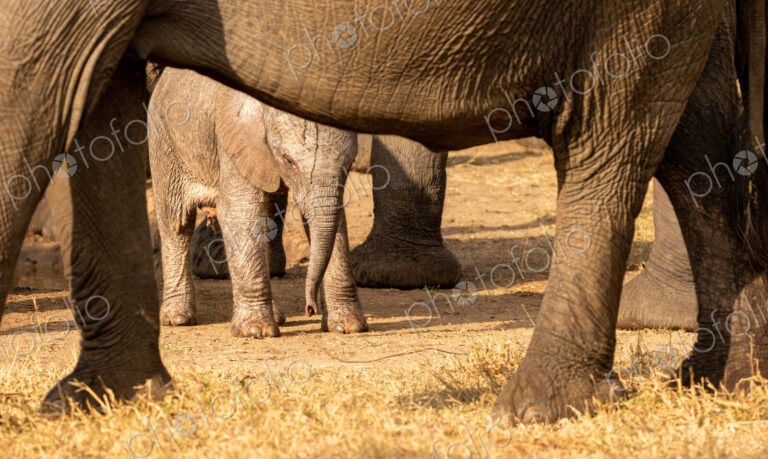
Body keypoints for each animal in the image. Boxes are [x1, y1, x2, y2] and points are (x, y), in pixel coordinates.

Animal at [149, 67, 368, 337]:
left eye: (351, 162)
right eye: (289, 161)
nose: (310, 308)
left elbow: (332, 221)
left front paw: (347, 327)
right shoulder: (235, 141)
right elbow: (240, 212)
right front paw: (255, 332)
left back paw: (277, 317)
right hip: (165, 140)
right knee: (176, 222)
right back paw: (177, 319)